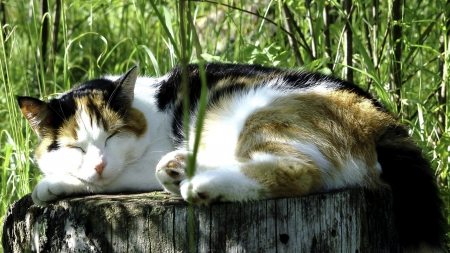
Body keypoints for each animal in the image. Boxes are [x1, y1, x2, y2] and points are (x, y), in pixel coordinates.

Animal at [18, 62, 446, 251]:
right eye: (75, 146)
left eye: (112, 136)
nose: (98, 162)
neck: (148, 109)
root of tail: (383, 120)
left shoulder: (140, 160)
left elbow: (113, 177)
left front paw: (51, 184)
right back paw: (178, 171)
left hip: (262, 114)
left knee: (299, 171)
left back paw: (200, 184)